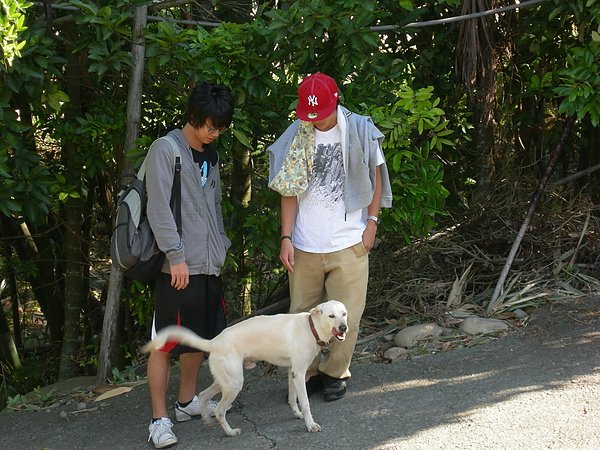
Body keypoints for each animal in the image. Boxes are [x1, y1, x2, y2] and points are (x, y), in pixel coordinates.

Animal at [142, 298, 346, 436]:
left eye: (344, 313)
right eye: (331, 316)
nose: (344, 327)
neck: (311, 327)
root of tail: (213, 342)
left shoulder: (292, 372)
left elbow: (292, 398)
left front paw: (297, 414)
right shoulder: (299, 373)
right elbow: (305, 403)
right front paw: (310, 424)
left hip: (225, 381)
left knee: (204, 395)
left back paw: (206, 420)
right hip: (234, 384)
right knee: (220, 411)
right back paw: (230, 432)